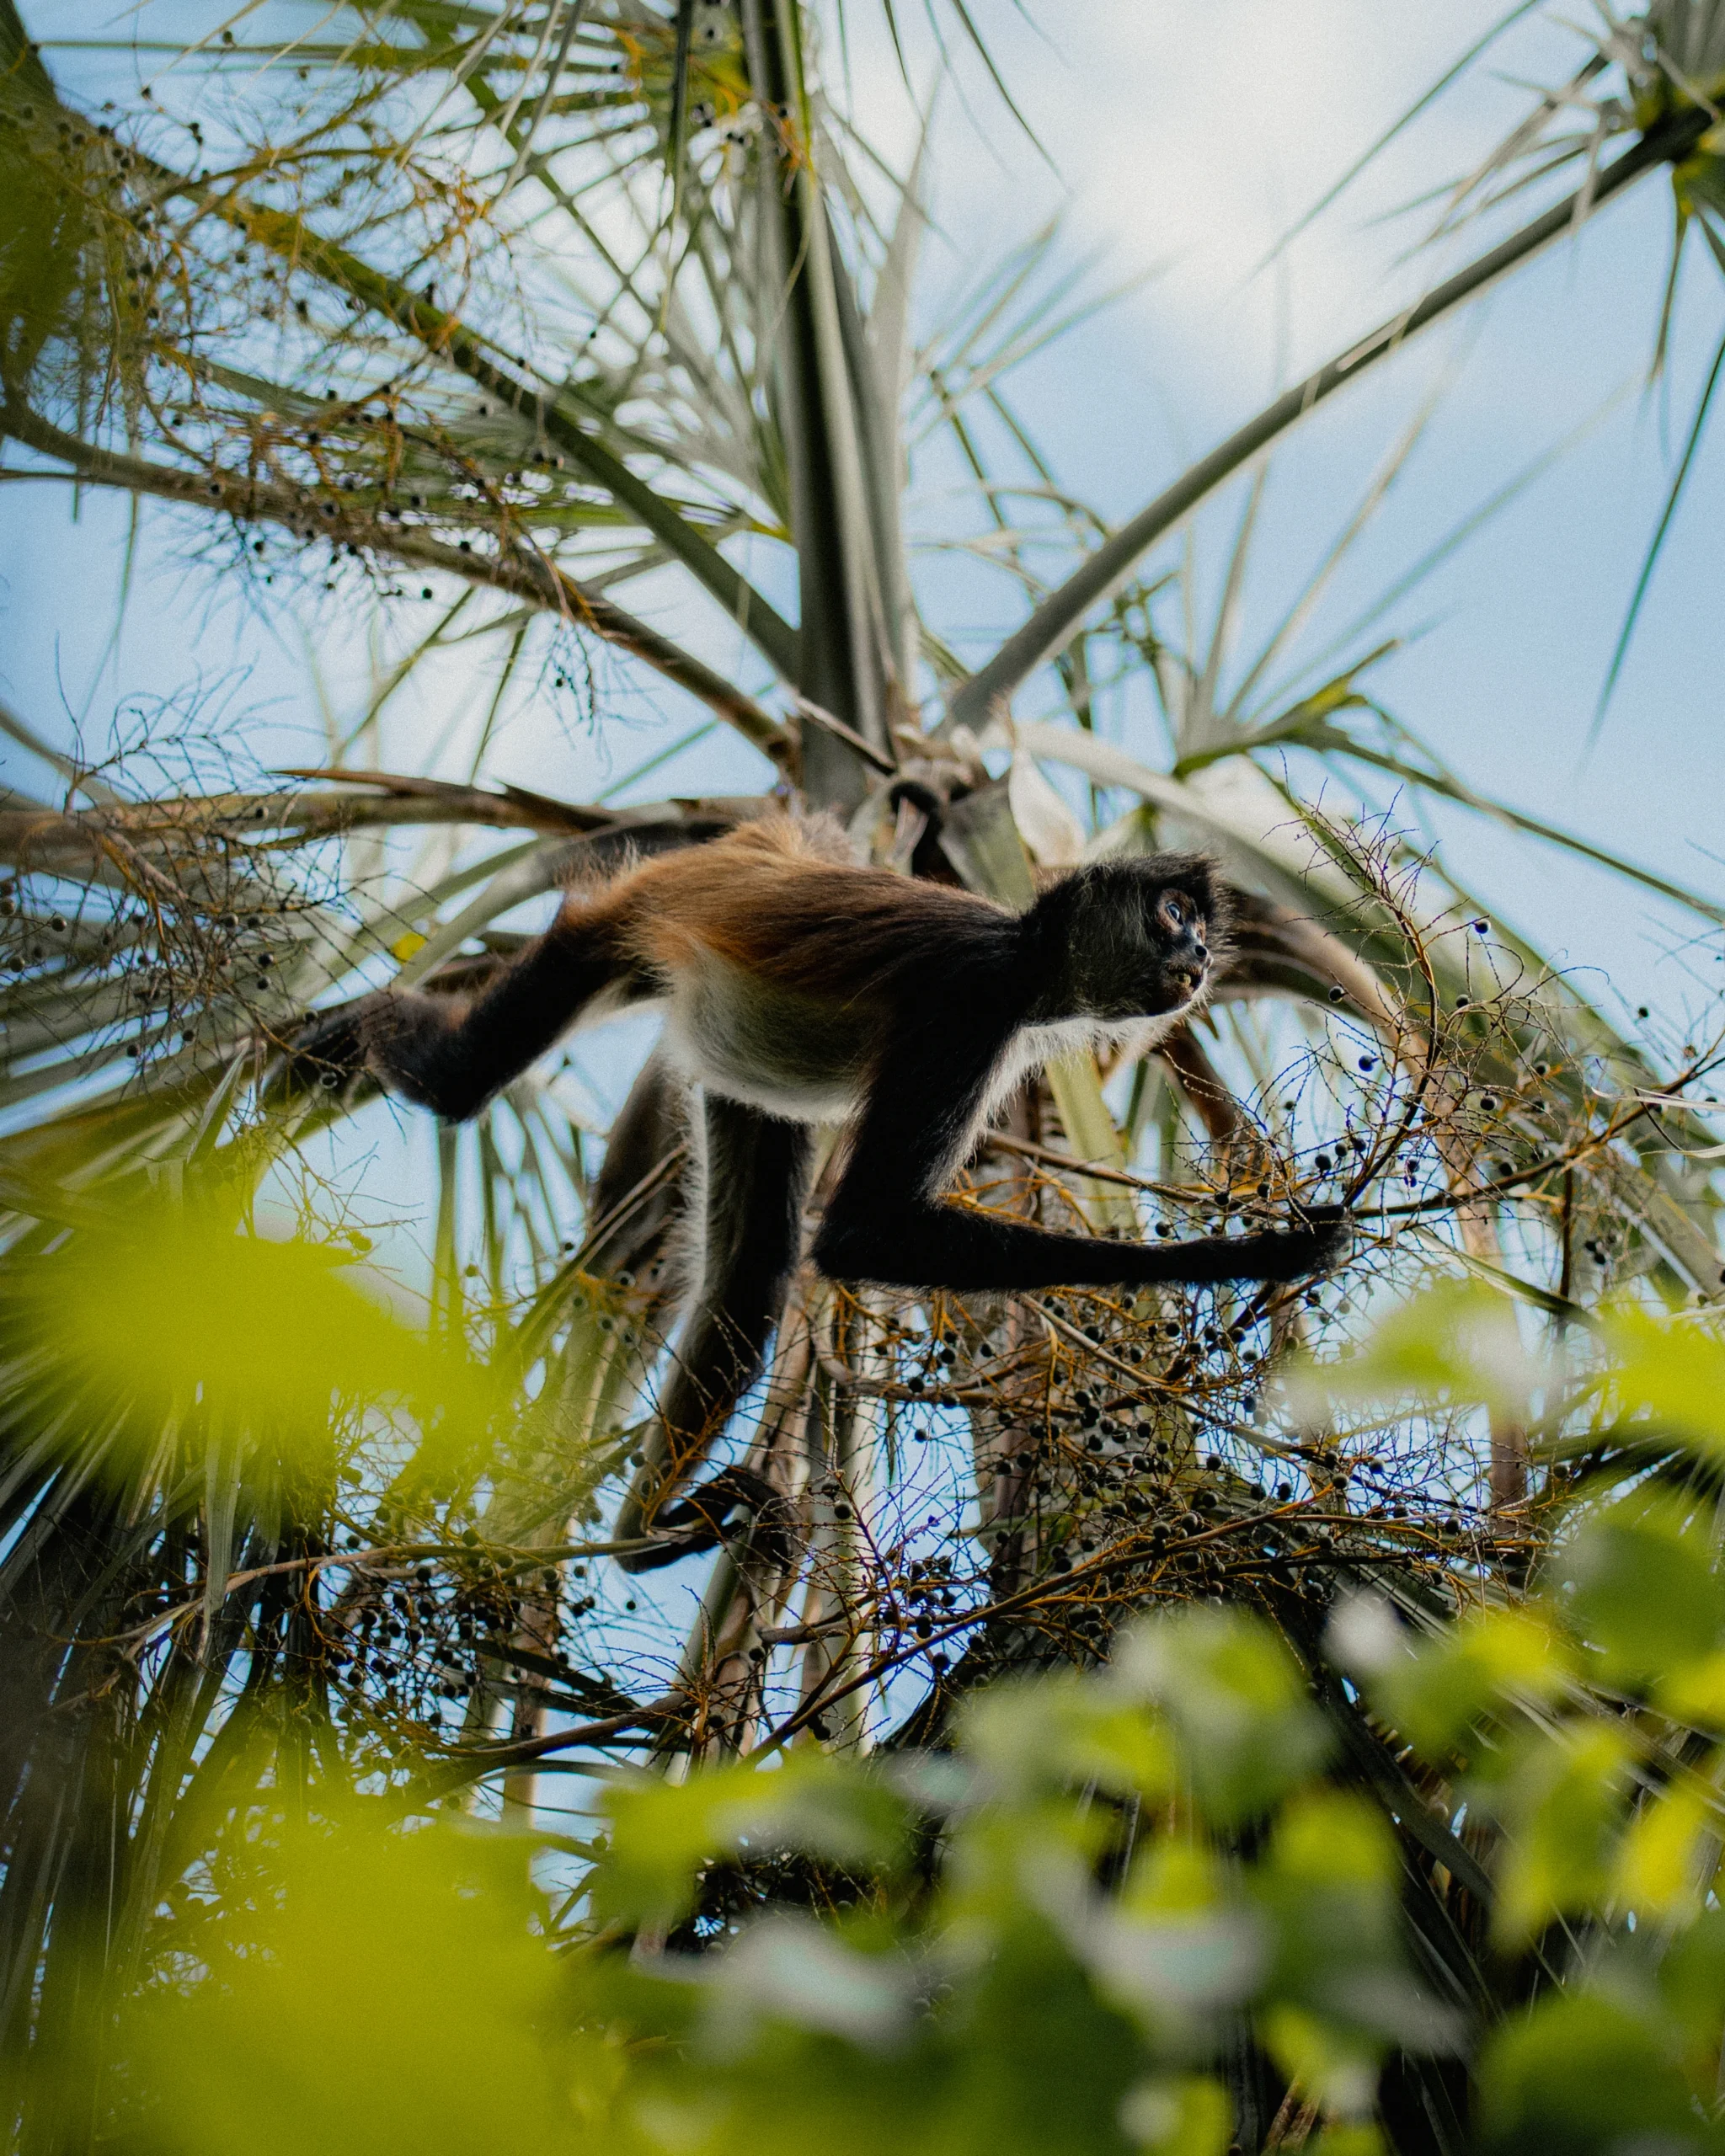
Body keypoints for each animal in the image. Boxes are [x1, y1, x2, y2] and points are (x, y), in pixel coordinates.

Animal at [286, 814, 1344, 1565]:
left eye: (1199, 930)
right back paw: (356, 1027)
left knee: (750, 1274)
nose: (1198, 959)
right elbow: (859, 1236)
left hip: (729, 1055)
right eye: (1173, 916)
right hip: (613, 921)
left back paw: (640, 1535)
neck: (1027, 958)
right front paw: (1257, 1251)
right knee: (462, 1083)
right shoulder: (971, 999)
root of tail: (757, 850)